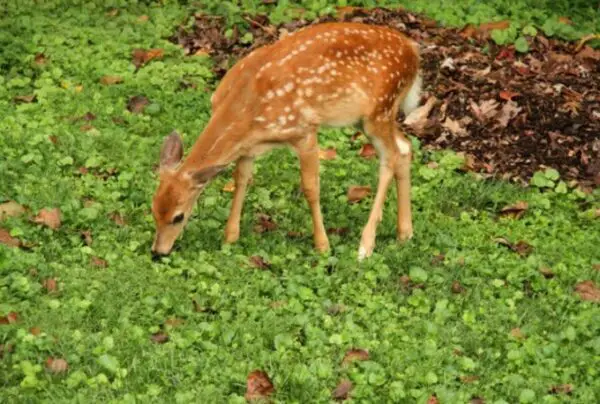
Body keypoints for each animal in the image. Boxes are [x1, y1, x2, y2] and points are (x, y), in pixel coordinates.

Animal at [151, 22, 422, 260]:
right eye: (153, 210)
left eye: (178, 216)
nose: (158, 252)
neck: (245, 106)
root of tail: (414, 51)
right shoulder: (248, 147)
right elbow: (241, 180)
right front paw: (230, 237)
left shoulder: (304, 130)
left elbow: (310, 188)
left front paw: (322, 245)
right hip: (369, 117)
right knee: (405, 147)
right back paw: (405, 233)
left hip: (380, 109)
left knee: (390, 158)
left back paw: (365, 246)